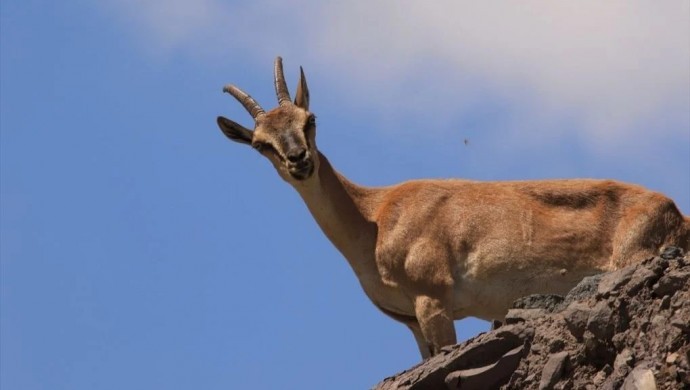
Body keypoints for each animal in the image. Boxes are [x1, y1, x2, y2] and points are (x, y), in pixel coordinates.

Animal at [215, 56, 688, 358]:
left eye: (309, 120)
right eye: (261, 144)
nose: (299, 160)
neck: (374, 218)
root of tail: (677, 214)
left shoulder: (433, 299)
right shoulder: (410, 321)